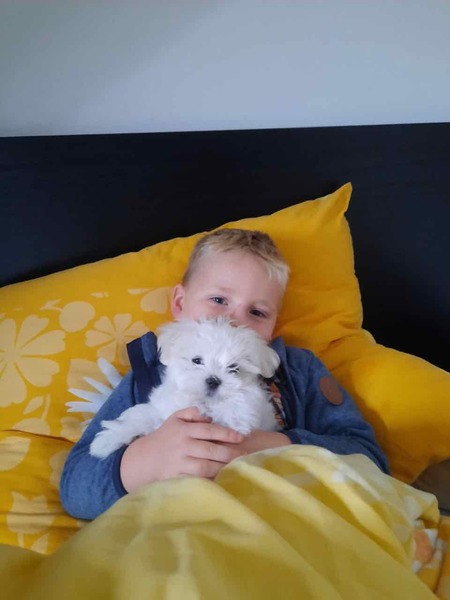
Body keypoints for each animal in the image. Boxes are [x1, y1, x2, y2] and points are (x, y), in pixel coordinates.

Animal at [89, 317, 280, 459]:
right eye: (196, 360)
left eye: (234, 368)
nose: (213, 380)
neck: (202, 401)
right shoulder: (163, 408)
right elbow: (140, 417)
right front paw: (104, 442)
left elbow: (239, 406)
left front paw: (232, 413)